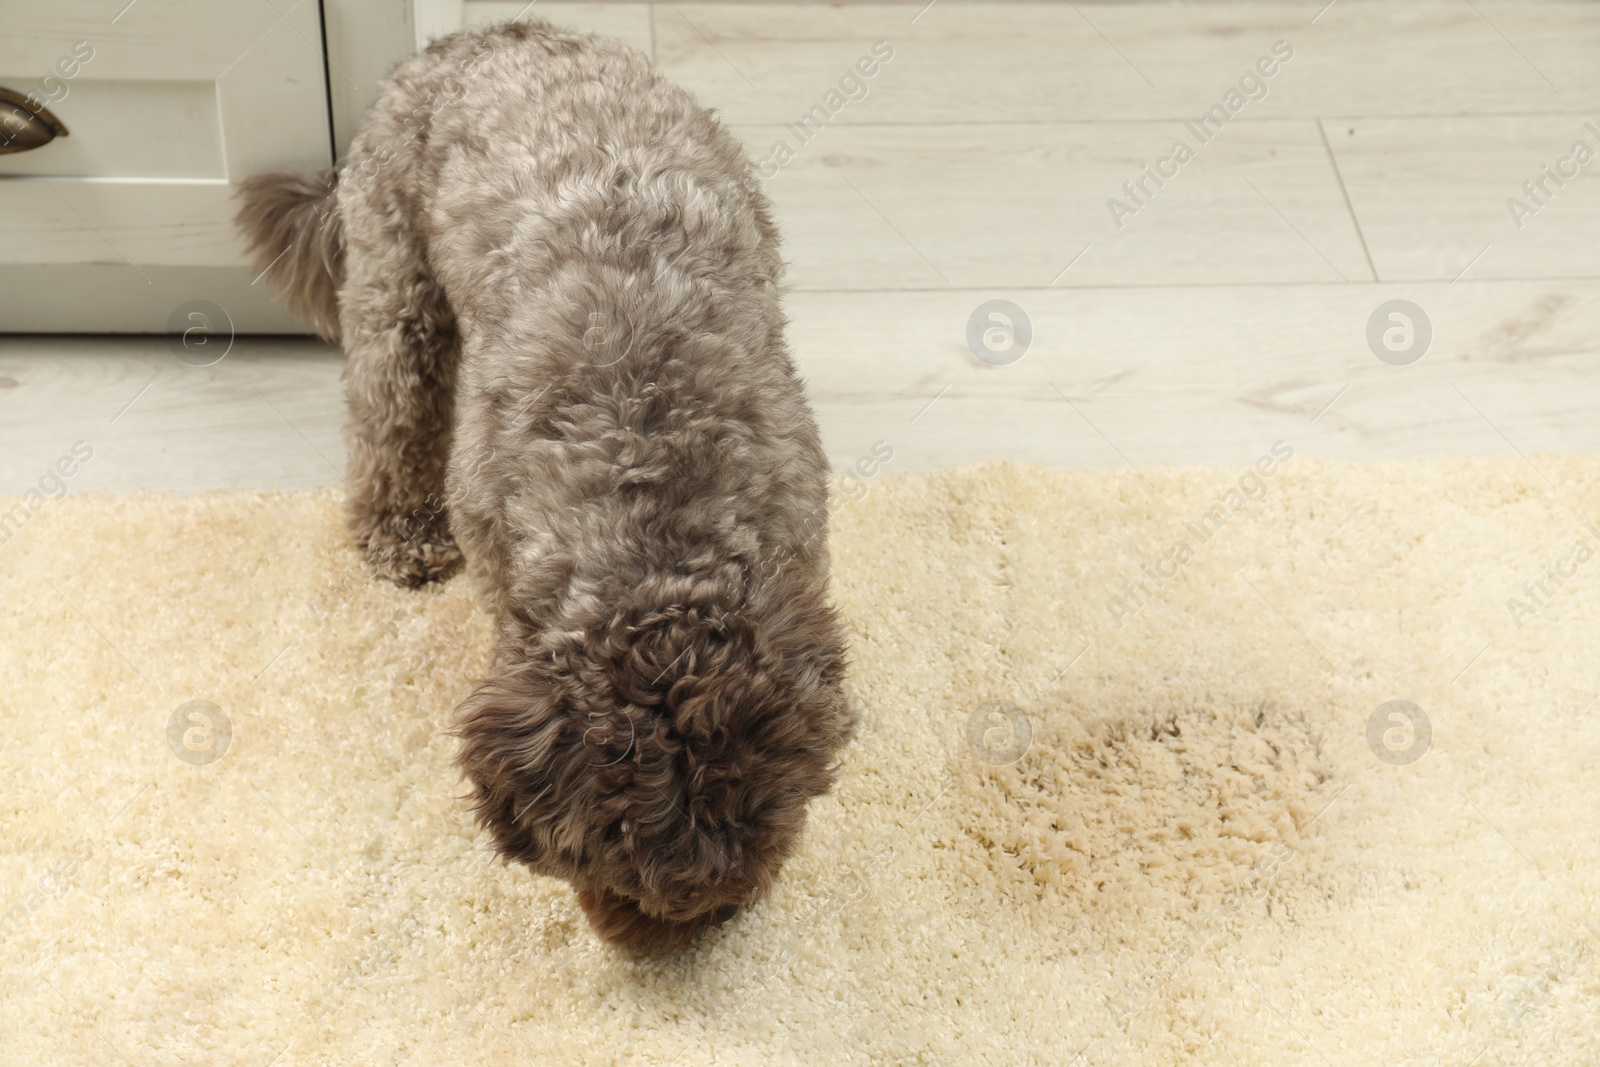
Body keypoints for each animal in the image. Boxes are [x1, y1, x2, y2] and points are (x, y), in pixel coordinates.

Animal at [235, 20, 857, 947]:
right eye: (613, 862)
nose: (690, 930)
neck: (652, 497)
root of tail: (472, 36)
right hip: (398, 287)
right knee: (387, 410)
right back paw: (399, 533)